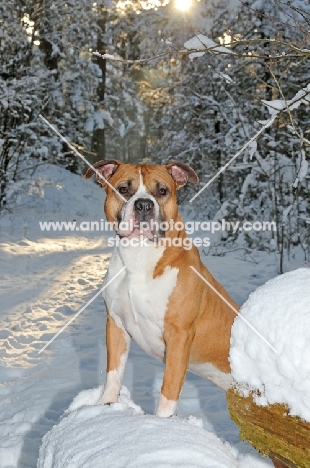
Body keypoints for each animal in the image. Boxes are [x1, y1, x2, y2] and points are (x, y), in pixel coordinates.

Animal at [85, 160, 237, 416]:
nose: (144, 205)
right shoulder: (115, 323)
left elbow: (168, 393)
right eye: (123, 189)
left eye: (162, 191)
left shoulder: (179, 336)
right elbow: (113, 375)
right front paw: (105, 407)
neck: (139, 256)